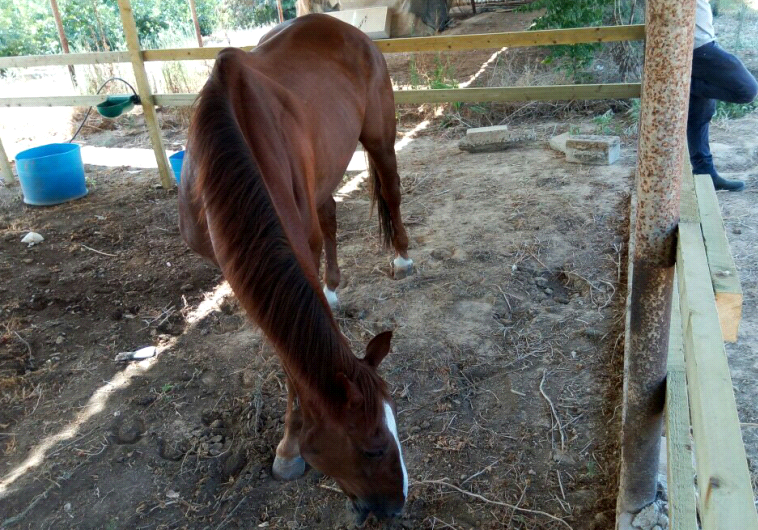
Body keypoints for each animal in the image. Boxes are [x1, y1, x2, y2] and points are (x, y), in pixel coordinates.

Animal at [177, 14, 413, 520]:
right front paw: (288, 450)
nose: (395, 507)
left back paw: (402, 257)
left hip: (379, 137)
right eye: (372, 448)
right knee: (330, 215)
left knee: (390, 189)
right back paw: (334, 288)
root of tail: (346, 28)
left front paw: (288, 447)